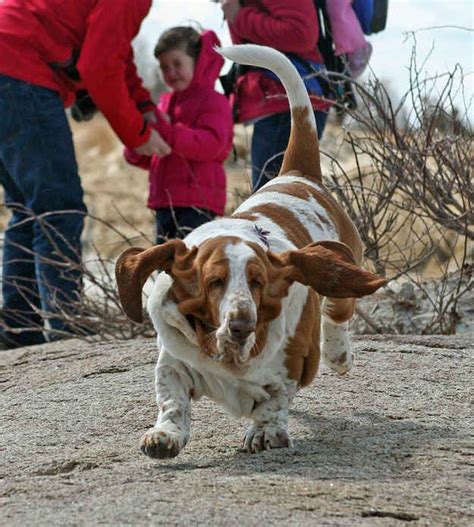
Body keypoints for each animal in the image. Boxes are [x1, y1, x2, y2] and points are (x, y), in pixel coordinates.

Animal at [116, 44, 386, 458]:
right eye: (213, 282)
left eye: (259, 283)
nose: (242, 324)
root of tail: (299, 174)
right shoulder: (174, 363)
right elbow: (173, 400)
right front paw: (165, 436)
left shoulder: (292, 363)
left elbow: (275, 399)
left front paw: (264, 433)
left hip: (344, 264)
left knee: (338, 313)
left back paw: (339, 355)